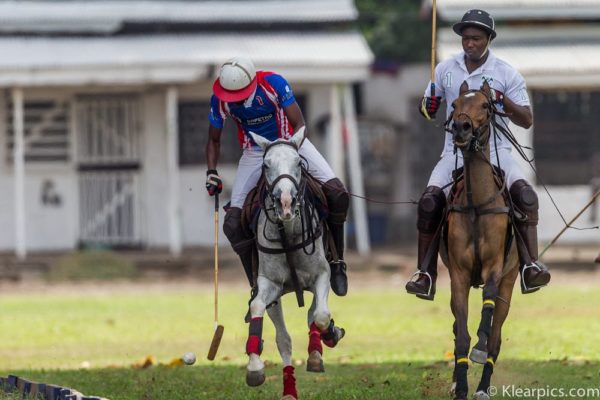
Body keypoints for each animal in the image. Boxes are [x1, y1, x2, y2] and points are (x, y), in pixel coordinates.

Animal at [244, 129, 344, 400]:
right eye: (266, 165)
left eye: (299, 162)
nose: (286, 202)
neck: (287, 232)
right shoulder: (269, 284)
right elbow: (257, 307)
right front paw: (254, 368)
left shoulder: (322, 274)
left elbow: (320, 316)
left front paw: (327, 337)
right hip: (276, 298)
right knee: (284, 339)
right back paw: (289, 389)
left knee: (314, 313)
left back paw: (320, 346)